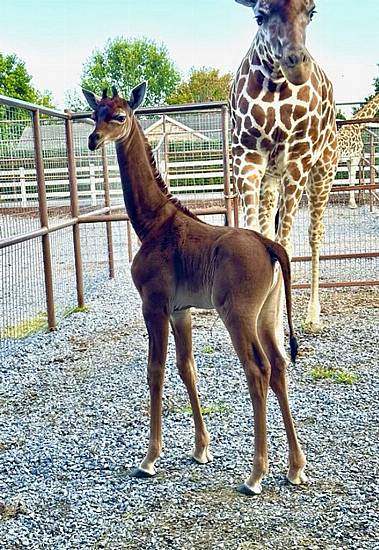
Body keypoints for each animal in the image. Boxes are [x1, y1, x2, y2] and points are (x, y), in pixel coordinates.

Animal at [84, 84, 308, 498]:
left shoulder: (154, 305)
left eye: (120, 116)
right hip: (268, 315)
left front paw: (149, 459)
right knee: (280, 365)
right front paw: (201, 449)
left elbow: (155, 370)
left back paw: (255, 476)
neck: (152, 223)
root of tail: (270, 245)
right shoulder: (180, 310)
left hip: (238, 315)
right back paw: (295, 468)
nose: (93, 139)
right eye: (95, 114)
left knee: (258, 369)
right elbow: (187, 367)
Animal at [230, 1, 340, 332]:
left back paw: (313, 316)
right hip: (271, 178)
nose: (296, 65)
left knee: (315, 233)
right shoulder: (247, 157)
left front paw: (277, 329)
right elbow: (258, 238)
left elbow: (285, 245)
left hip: (323, 171)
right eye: (259, 15)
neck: (275, 84)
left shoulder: (297, 160)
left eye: (312, 11)